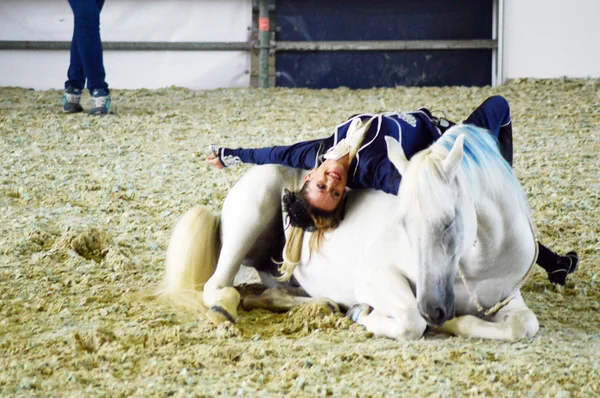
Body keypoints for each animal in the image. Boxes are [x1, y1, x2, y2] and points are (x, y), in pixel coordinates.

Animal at [157, 125, 540, 342]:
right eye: (403, 223)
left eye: (449, 221)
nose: (434, 309)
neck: (478, 265)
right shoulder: (376, 278)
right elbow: (409, 321)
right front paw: (365, 314)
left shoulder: (505, 298)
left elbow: (524, 325)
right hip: (250, 214)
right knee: (218, 286)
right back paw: (225, 308)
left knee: (273, 293)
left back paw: (320, 304)